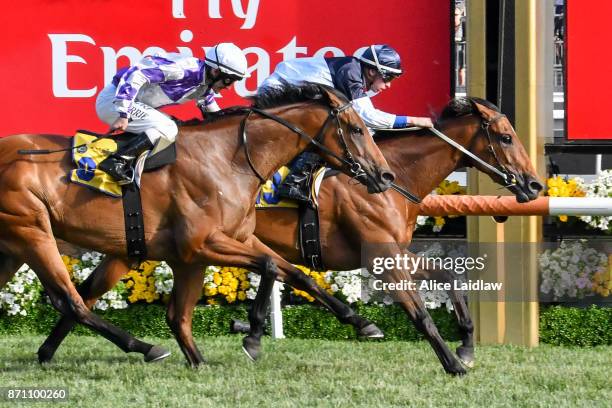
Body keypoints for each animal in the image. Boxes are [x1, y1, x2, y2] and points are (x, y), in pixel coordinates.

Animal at [0, 83, 392, 366]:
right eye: (357, 129)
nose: (385, 175)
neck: (228, 159)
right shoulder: (199, 244)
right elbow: (268, 267)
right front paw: (252, 335)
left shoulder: (227, 241)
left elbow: (293, 273)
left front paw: (362, 322)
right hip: (32, 229)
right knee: (71, 300)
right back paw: (145, 347)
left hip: (14, 245)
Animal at [34, 96, 540, 376]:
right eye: (506, 137)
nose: (534, 186)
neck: (394, 177)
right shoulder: (380, 257)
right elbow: (419, 311)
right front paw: (453, 360)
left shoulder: (394, 251)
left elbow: (450, 277)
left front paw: (468, 345)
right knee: (82, 295)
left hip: (130, 247)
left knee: (85, 293)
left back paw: (48, 353)